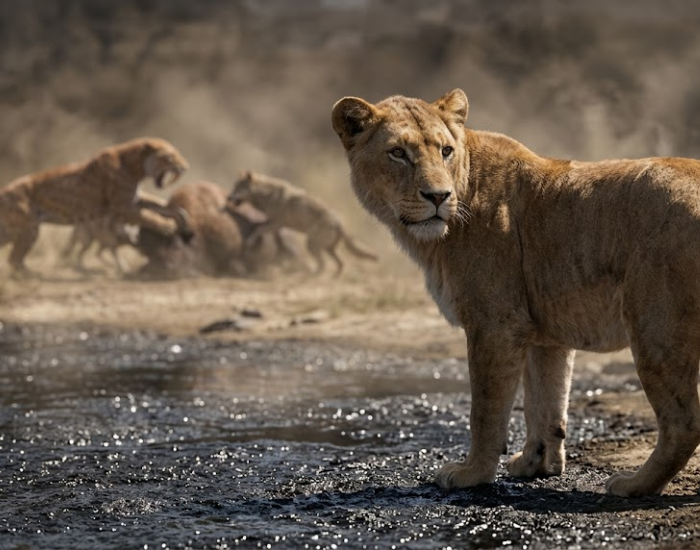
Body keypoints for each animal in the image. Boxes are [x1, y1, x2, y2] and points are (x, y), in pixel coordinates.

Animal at [0, 137, 192, 276]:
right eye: (170, 157)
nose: (185, 167)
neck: (136, 169)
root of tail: (3, 191)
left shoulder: (134, 200)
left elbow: (160, 204)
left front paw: (182, 217)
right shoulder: (124, 206)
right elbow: (149, 216)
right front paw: (168, 226)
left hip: (9, 232)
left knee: (14, 258)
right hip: (29, 229)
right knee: (14, 259)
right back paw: (33, 275)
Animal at [228, 170, 378, 275]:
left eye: (237, 188)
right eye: (233, 187)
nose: (228, 197)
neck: (268, 195)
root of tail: (339, 222)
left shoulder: (278, 223)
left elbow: (259, 229)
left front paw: (249, 242)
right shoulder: (272, 222)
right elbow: (259, 226)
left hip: (311, 244)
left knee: (323, 265)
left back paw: (311, 275)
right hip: (327, 249)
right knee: (340, 263)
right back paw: (332, 277)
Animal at [332, 88, 700, 498]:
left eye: (445, 150)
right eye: (397, 152)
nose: (438, 196)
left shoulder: (494, 324)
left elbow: (486, 409)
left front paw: (472, 473)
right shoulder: (546, 334)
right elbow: (545, 402)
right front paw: (536, 464)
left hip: (656, 326)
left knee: (683, 422)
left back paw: (634, 484)